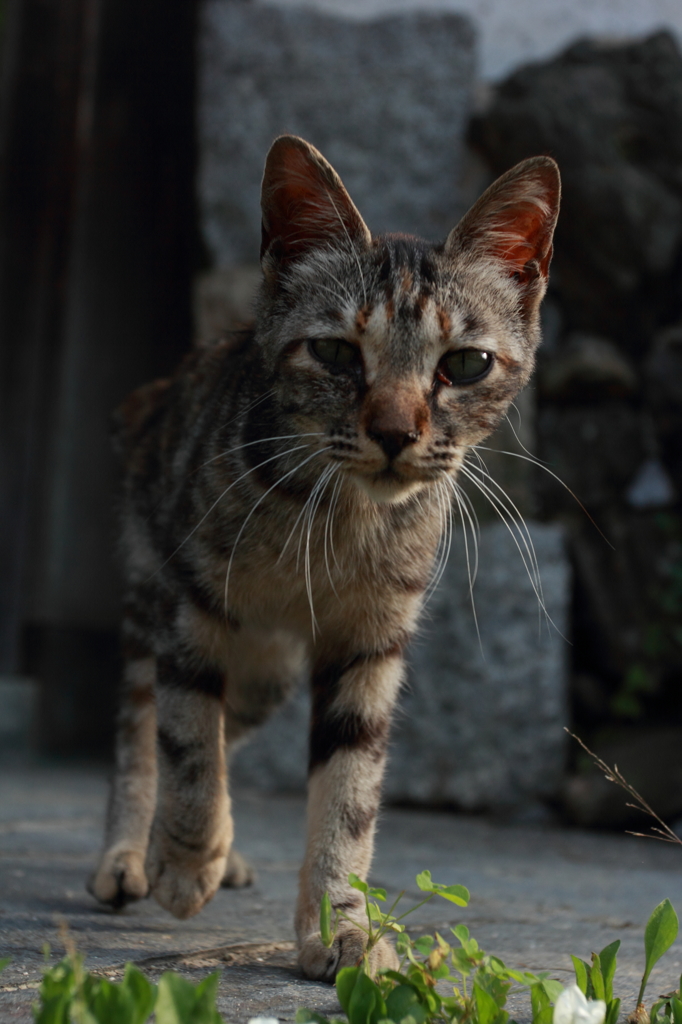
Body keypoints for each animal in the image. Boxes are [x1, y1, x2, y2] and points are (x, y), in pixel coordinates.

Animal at [86, 132, 557, 978]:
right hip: (151, 594)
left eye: (466, 364)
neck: (339, 522)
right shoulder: (194, 606)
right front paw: (186, 862)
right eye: (336, 353)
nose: (397, 432)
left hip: (264, 675)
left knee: (227, 729)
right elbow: (188, 747)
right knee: (143, 728)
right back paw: (131, 855)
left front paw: (341, 924)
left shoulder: (369, 642)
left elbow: (348, 793)